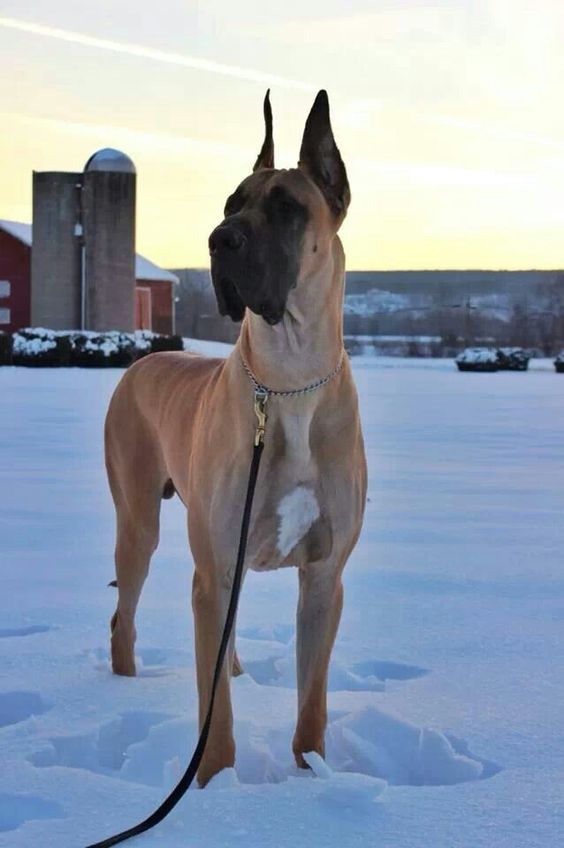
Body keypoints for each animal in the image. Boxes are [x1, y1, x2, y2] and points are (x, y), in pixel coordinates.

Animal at [106, 89, 368, 784]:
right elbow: (215, 715)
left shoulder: (325, 578)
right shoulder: (215, 569)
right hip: (138, 522)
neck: (288, 382)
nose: (218, 240)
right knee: (123, 616)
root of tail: (141, 361)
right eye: (230, 204)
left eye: (286, 208)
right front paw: (218, 787)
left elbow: (312, 703)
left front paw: (313, 775)